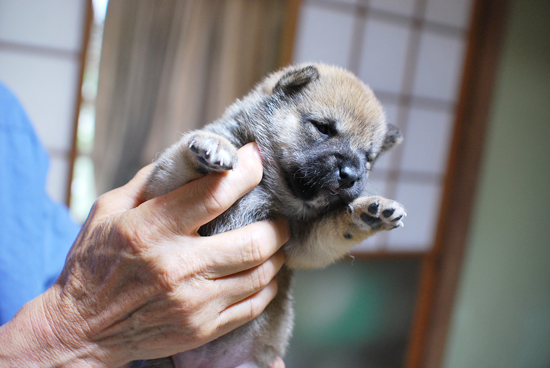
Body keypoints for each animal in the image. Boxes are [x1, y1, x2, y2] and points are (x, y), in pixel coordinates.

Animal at [134, 64, 410, 368]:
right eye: (323, 128)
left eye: (368, 157)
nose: (350, 175)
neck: (272, 187)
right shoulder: (160, 187)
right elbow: (180, 163)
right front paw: (214, 145)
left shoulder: (298, 242)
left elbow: (332, 229)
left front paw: (368, 213)